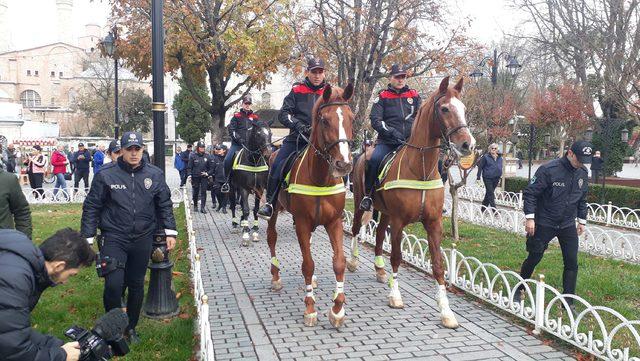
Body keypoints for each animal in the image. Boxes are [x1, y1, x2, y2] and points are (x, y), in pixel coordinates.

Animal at [266, 83, 356, 328]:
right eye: (324, 120)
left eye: (351, 118)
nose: (343, 164)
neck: (320, 178)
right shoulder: (303, 223)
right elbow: (307, 264)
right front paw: (310, 308)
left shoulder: (334, 222)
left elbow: (339, 263)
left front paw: (337, 309)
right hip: (274, 211)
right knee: (271, 237)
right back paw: (275, 276)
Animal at [348, 76, 472, 330]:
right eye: (445, 109)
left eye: (464, 109)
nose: (467, 144)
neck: (420, 169)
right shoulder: (398, 222)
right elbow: (396, 257)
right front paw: (395, 296)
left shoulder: (433, 224)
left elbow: (438, 265)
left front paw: (446, 311)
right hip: (359, 205)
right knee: (356, 230)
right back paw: (353, 261)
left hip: (384, 212)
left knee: (378, 235)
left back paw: (379, 269)